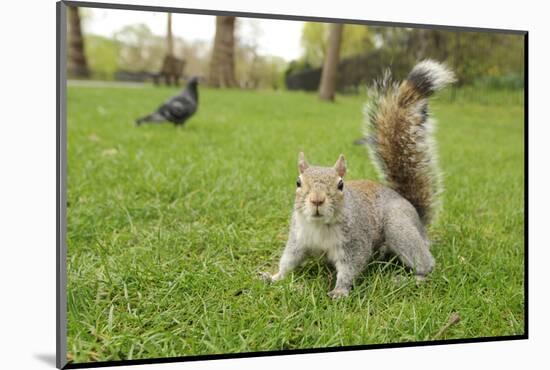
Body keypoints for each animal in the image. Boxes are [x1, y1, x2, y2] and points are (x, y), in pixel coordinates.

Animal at [262, 60, 458, 298]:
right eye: (298, 183)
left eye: (340, 185)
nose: (317, 200)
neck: (320, 226)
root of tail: (417, 216)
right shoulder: (298, 238)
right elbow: (288, 260)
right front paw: (274, 277)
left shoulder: (355, 242)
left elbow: (351, 266)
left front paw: (339, 290)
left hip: (398, 226)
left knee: (425, 262)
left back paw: (412, 278)